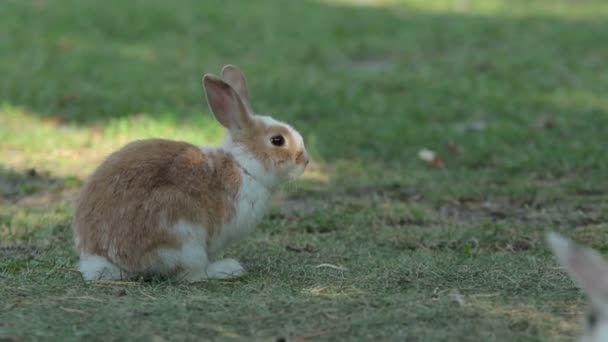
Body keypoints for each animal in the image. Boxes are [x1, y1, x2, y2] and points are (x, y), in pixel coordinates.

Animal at [72, 65, 308, 282]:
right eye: (277, 140)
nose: (305, 160)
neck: (244, 167)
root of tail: (101, 257)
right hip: (182, 236)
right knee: (191, 273)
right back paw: (229, 268)